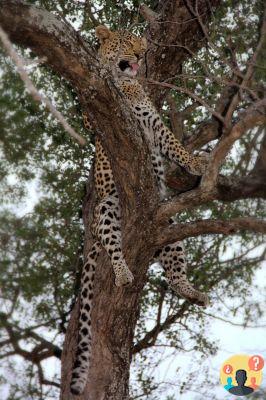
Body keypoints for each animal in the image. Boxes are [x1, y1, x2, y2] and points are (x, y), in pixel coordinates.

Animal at [70, 26, 208, 396]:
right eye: (127, 42)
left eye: (141, 45)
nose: (140, 55)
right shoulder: (97, 113)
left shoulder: (154, 122)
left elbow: (174, 143)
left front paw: (194, 162)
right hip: (106, 207)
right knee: (112, 245)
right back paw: (122, 272)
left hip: (169, 233)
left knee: (174, 274)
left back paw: (192, 292)